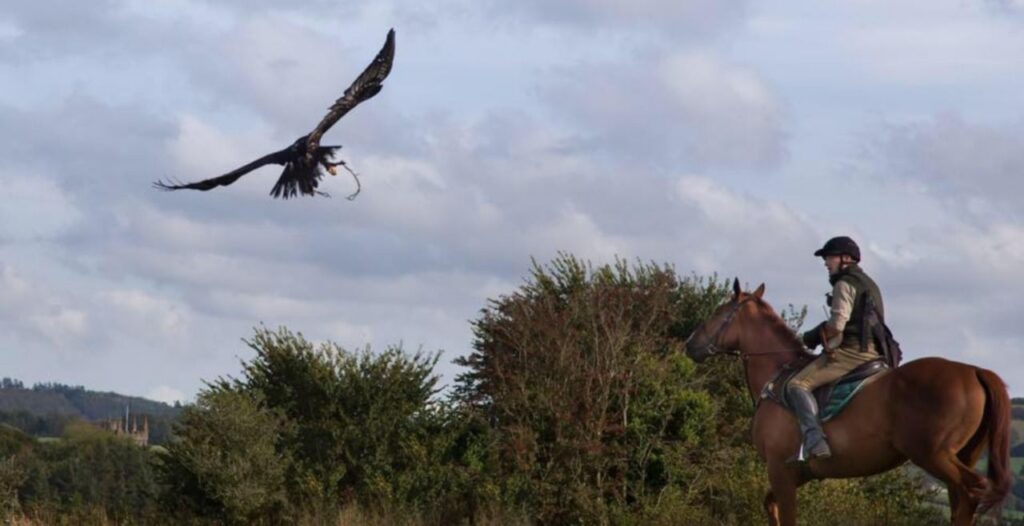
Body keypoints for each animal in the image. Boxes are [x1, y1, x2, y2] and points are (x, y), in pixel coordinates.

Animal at [684, 279, 1011, 526]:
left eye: (719, 312)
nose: (690, 345)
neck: (776, 372)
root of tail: (974, 370)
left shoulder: (780, 470)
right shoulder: (798, 474)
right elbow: (770, 505)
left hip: (933, 454)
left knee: (970, 492)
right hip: (962, 453)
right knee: (962, 501)